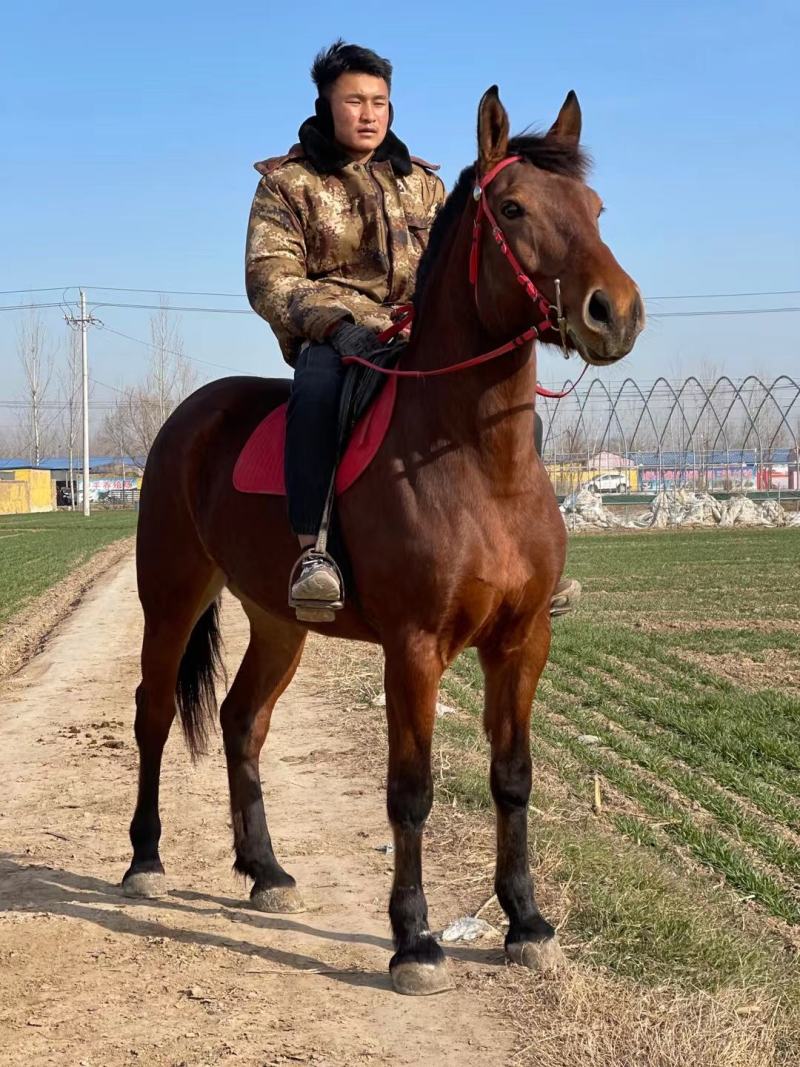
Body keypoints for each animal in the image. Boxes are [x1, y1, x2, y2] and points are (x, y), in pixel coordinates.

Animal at [122, 86, 644, 996]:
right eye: (513, 208)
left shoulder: (522, 643)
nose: (614, 311)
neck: (478, 462)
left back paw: (265, 870)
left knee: (240, 721)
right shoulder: (414, 647)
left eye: (596, 208)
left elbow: (514, 778)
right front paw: (415, 941)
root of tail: (191, 415)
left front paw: (527, 921)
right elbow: (410, 790)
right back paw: (145, 861)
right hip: (173, 594)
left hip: (279, 621)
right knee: (154, 713)